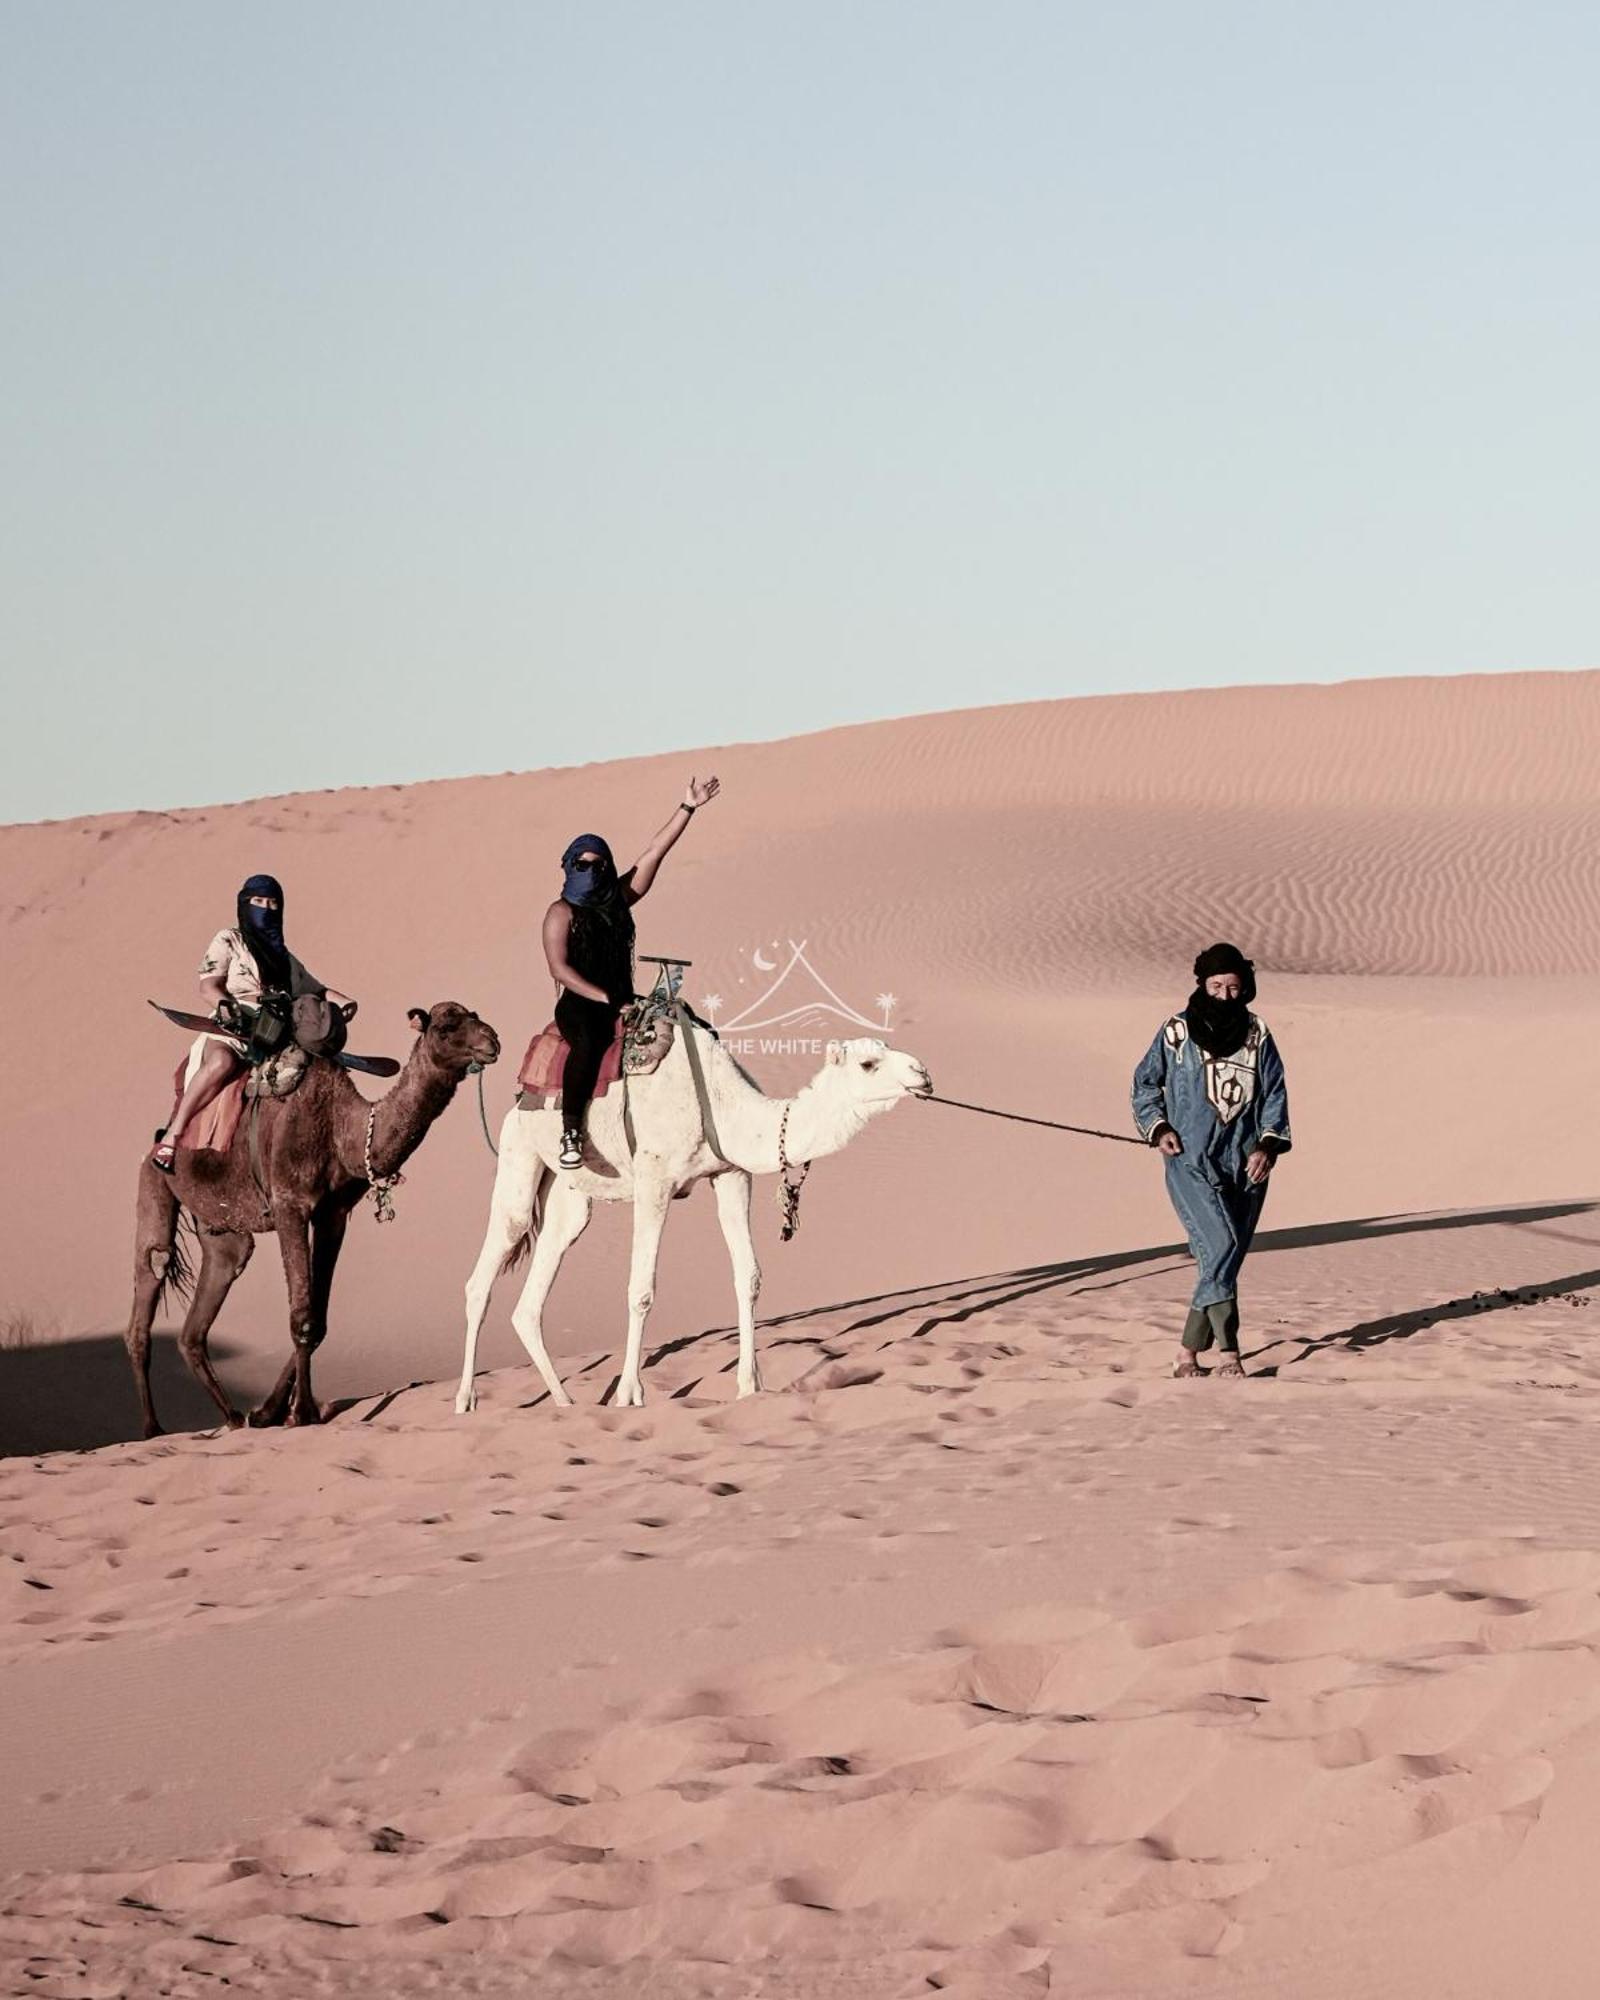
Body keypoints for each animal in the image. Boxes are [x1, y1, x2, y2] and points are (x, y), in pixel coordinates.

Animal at [129, 1000, 496, 1440]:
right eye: (445, 1027)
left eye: (475, 1016)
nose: (492, 1042)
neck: (343, 1131)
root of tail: (162, 1132)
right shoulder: (291, 1203)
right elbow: (302, 1317)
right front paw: (300, 1412)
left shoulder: (333, 1214)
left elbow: (318, 1317)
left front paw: (267, 1412)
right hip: (152, 1180)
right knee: (152, 1272)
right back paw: (152, 1427)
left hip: (221, 1228)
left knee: (205, 1303)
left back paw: (233, 1418)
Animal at [456, 1024, 932, 1416]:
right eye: (868, 1064)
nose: (923, 1072)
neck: (720, 1105)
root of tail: (519, 1098)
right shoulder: (654, 1179)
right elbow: (641, 1290)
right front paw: (630, 1394)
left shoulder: (731, 1174)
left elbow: (749, 1276)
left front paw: (750, 1386)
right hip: (519, 1155)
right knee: (489, 1266)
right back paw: (466, 1399)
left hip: (568, 1193)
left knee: (536, 1288)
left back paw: (566, 1402)